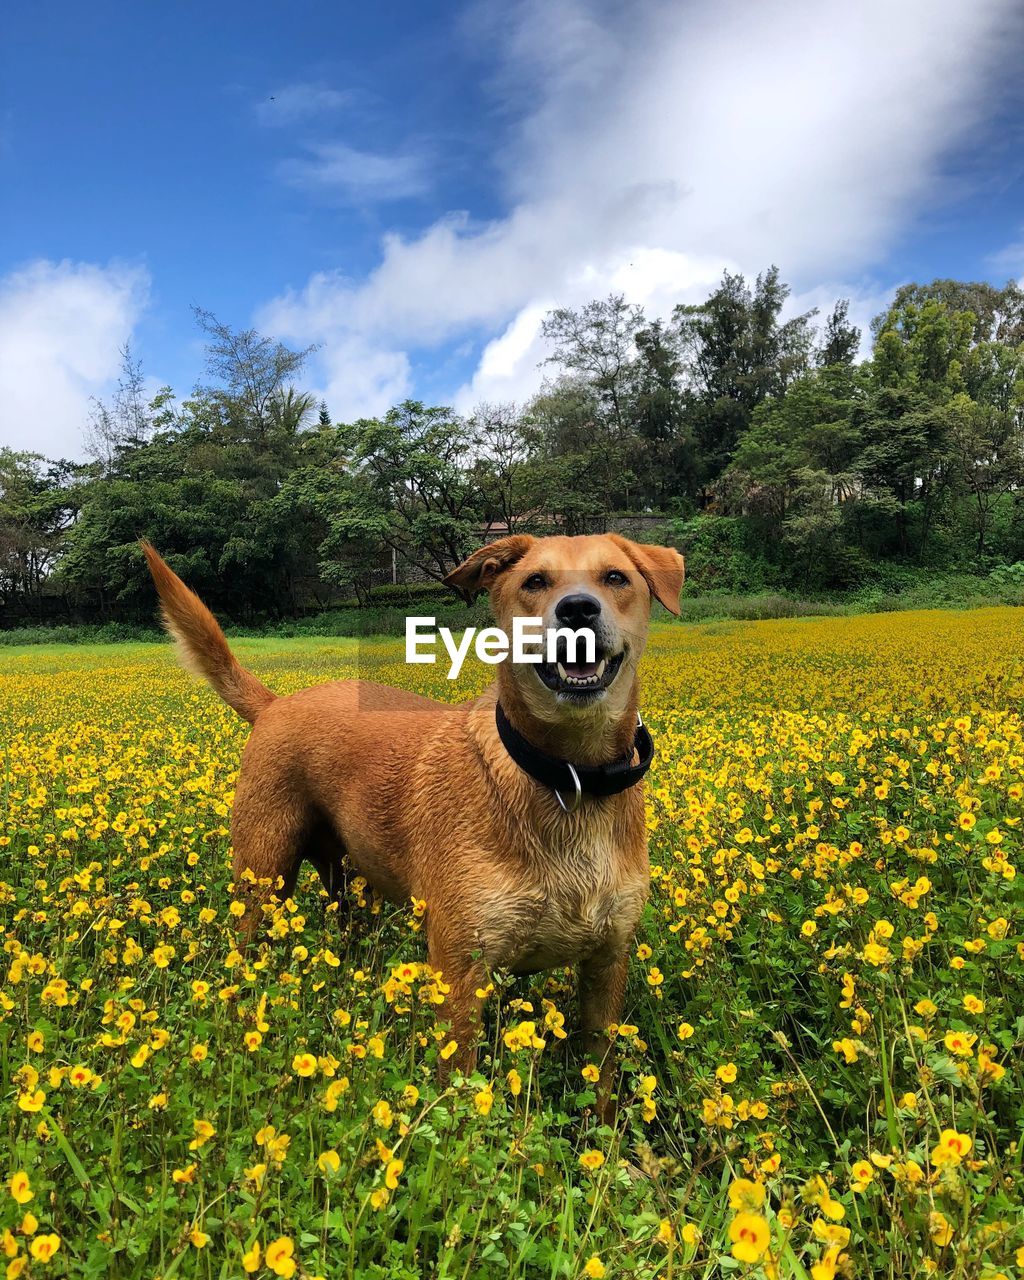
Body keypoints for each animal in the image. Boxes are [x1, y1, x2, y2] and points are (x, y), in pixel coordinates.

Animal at [140, 535, 686, 1116]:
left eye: (615, 578)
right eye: (535, 582)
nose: (578, 609)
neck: (568, 779)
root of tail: (275, 704)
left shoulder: (608, 965)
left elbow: (601, 1079)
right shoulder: (459, 969)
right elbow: (461, 1087)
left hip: (351, 883)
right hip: (262, 879)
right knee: (243, 955)